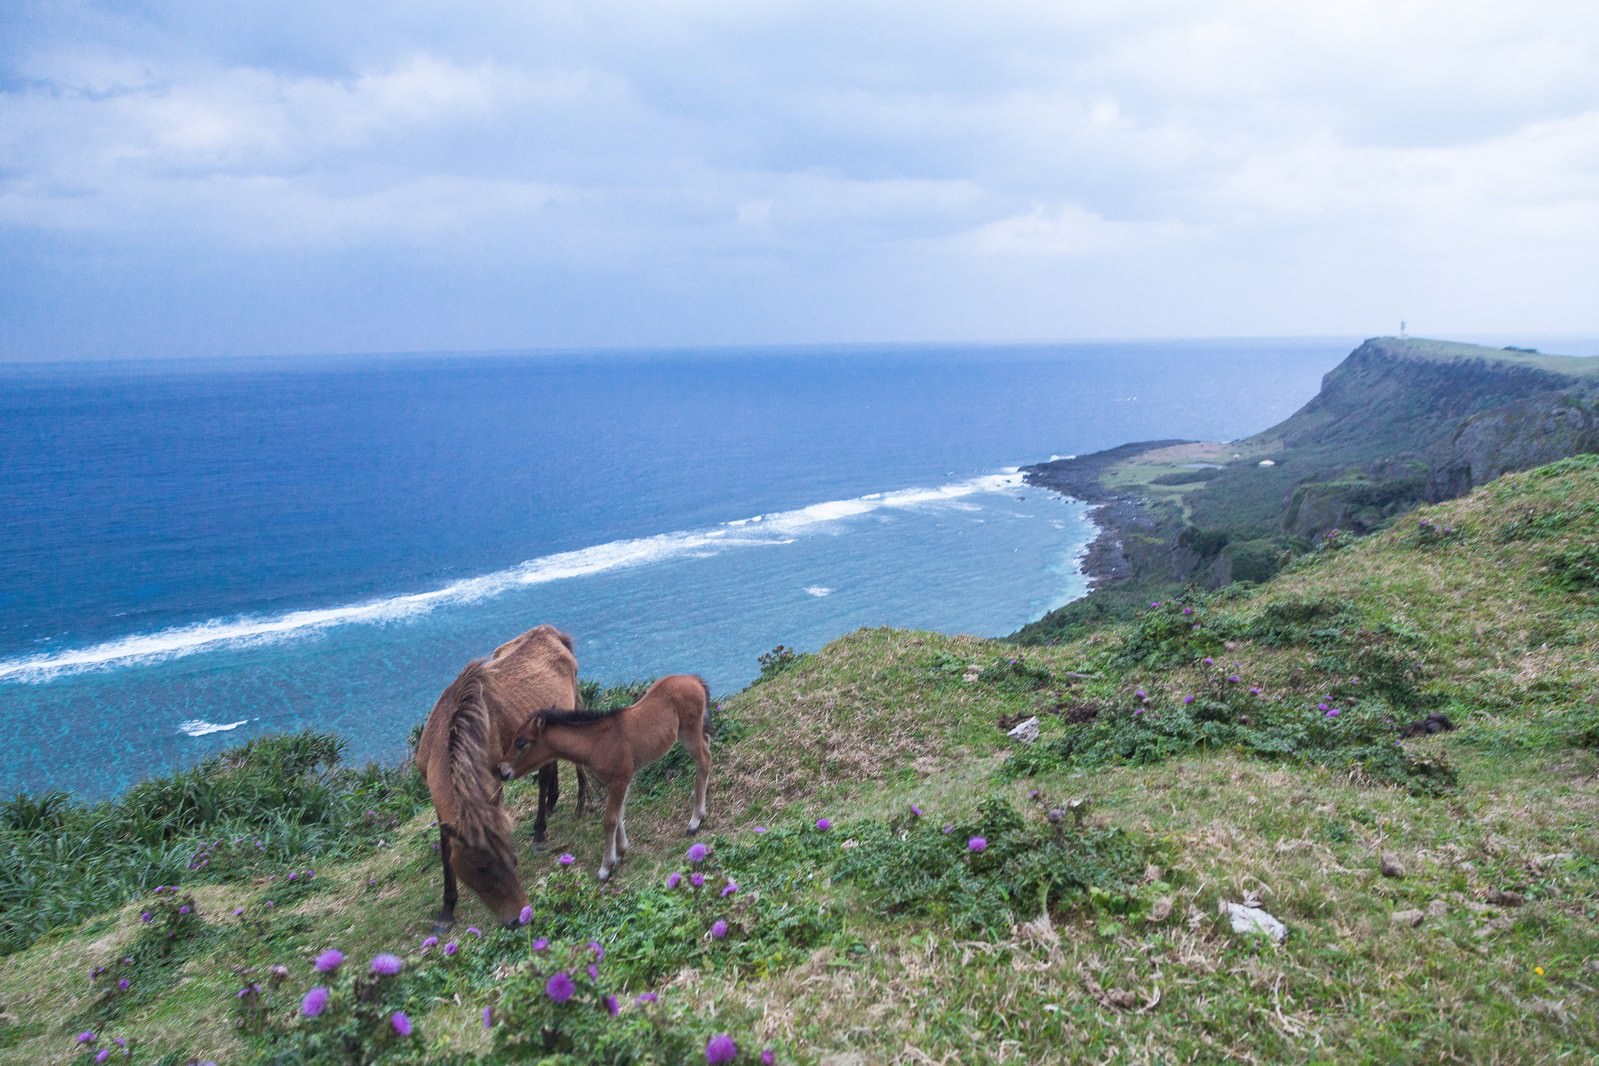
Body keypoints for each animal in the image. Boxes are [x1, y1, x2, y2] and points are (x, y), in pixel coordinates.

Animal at [497, 674, 712, 881]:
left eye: (521, 743)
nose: (503, 770)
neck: (597, 742)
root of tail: (694, 679)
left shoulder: (619, 780)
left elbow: (610, 820)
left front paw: (605, 868)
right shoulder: (618, 781)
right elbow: (619, 814)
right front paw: (621, 851)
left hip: (689, 730)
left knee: (704, 760)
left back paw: (695, 821)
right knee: (707, 744)